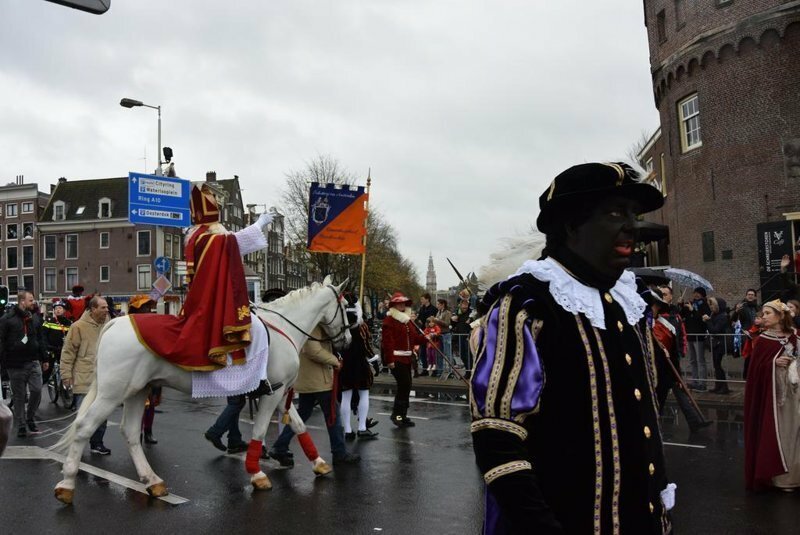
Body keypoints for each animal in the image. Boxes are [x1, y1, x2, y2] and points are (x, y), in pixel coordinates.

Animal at [50, 278, 350, 504]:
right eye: (348, 306)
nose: (346, 341)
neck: (284, 329)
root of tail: (113, 322)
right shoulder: (272, 394)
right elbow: (260, 431)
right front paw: (257, 474)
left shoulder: (278, 392)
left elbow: (299, 426)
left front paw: (319, 463)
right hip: (113, 392)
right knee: (85, 427)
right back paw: (66, 485)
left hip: (137, 390)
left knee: (131, 432)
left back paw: (153, 481)